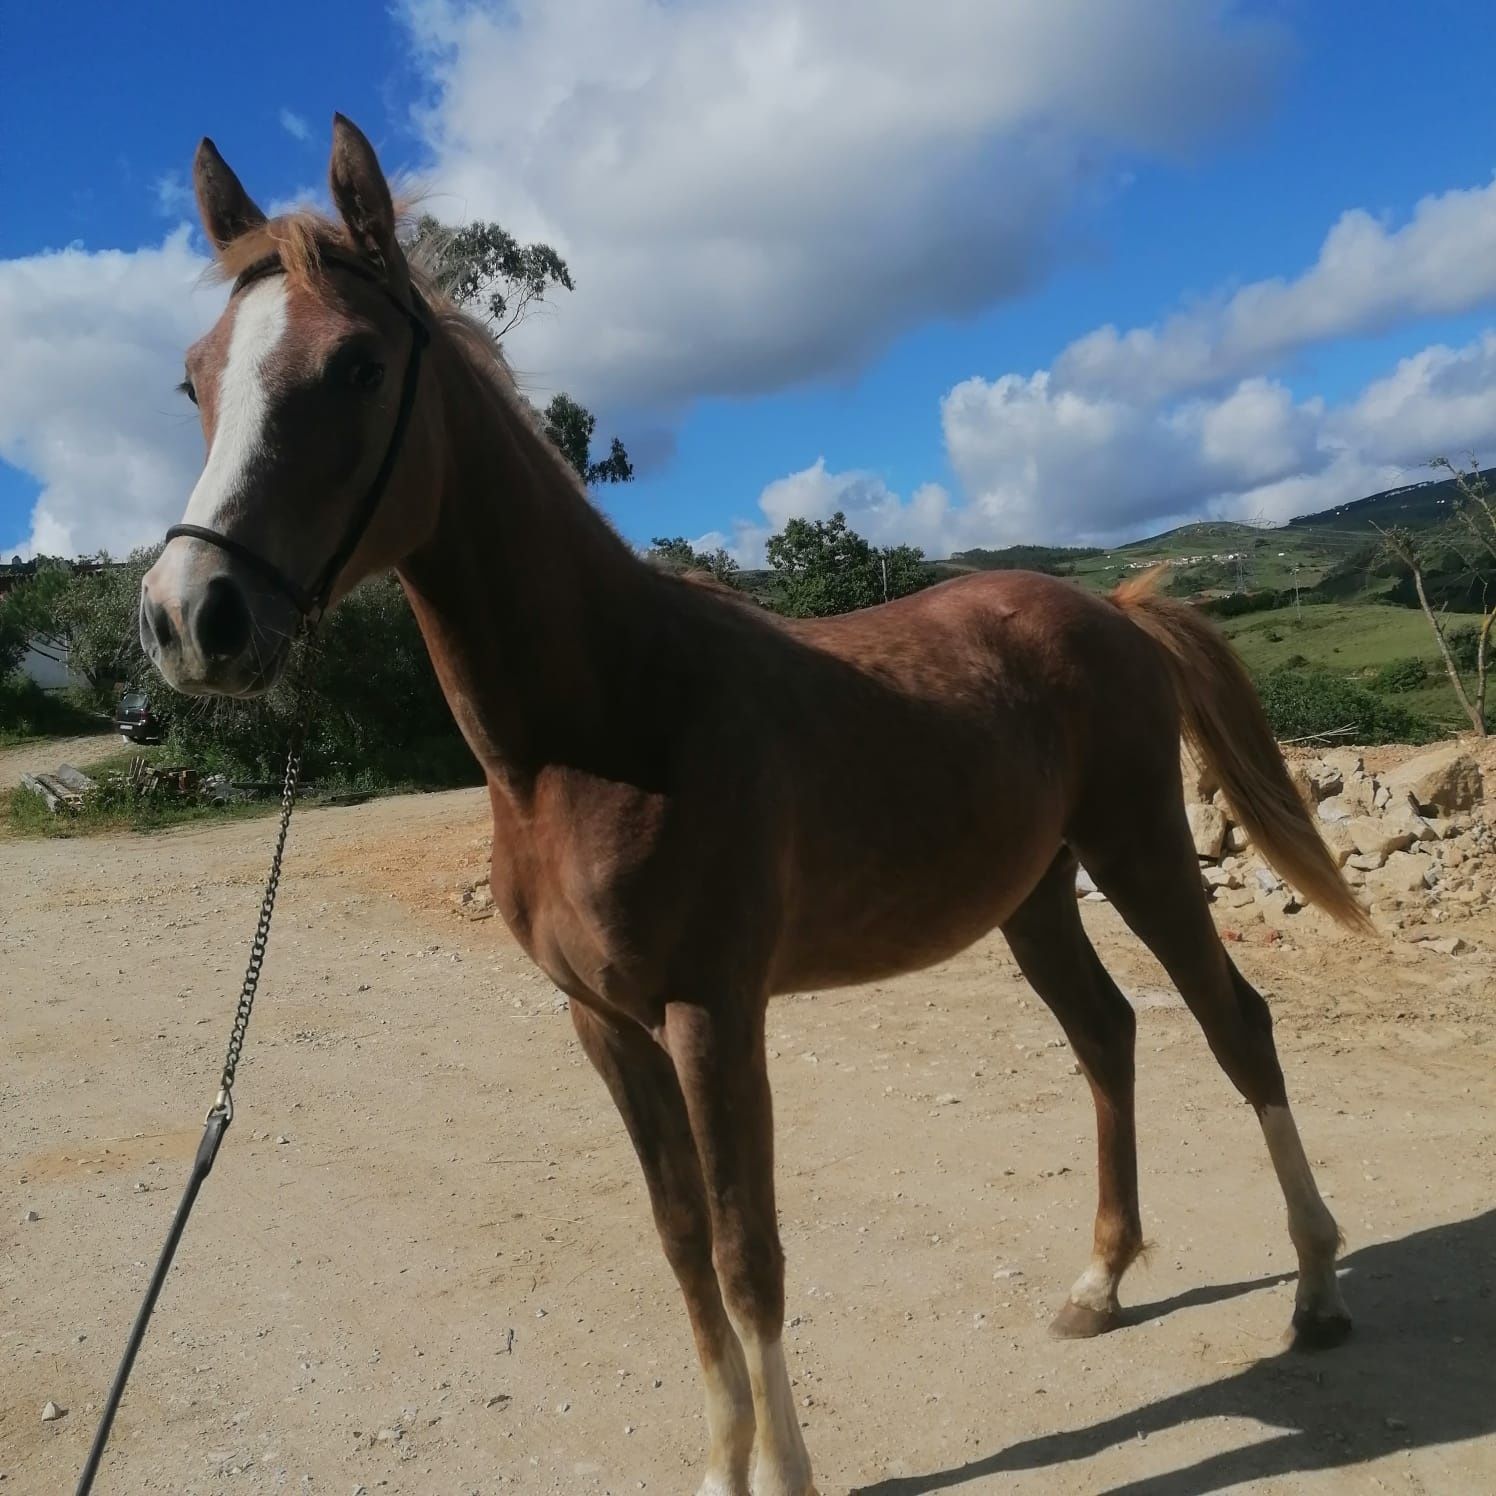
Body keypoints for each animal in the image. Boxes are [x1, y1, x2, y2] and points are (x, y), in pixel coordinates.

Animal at [142, 119, 1370, 1496]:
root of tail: (1112, 608)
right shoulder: (604, 1026)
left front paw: (778, 1469)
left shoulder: (711, 1015)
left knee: (1235, 1027)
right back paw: (1100, 1279)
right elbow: (681, 1242)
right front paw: (720, 1461)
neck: (605, 722)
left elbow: (746, 1252)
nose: (190, 618)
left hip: (1141, 850)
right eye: (194, 380)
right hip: (1035, 893)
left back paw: (1315, 1288)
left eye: (354, 365)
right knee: (1106, 1036)